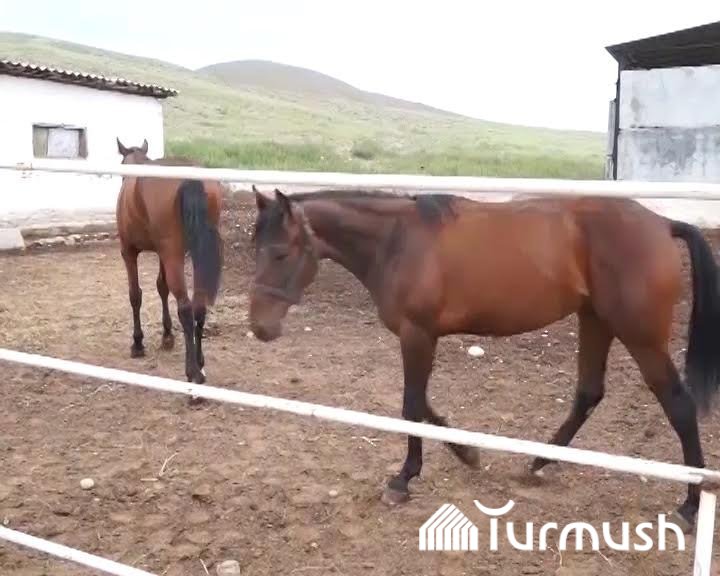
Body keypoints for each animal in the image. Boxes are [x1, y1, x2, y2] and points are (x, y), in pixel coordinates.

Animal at [115, 138, 224, 389]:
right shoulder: (161, 254)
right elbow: (161, 287)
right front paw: (167, 336)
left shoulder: (129, 252)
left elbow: (135, 295)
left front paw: (138, 343)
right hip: (194, 254)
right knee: (199, 305)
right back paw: (199, 362)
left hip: (173, 255)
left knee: (185, 307)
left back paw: (193, 372)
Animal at [247, 186, 720, 531]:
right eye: (256, 250)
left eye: (281, 253)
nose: (260, 327)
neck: (398, 241)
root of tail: (663, 224)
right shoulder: (420, 338)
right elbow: (423, 405)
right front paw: (468, 454)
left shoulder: (417, 335)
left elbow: (410, 406)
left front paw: (403, 480)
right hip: (595, 320)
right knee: (589, 393)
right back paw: (538, 462)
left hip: (639, 337)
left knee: (678, 405)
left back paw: (691, 505)